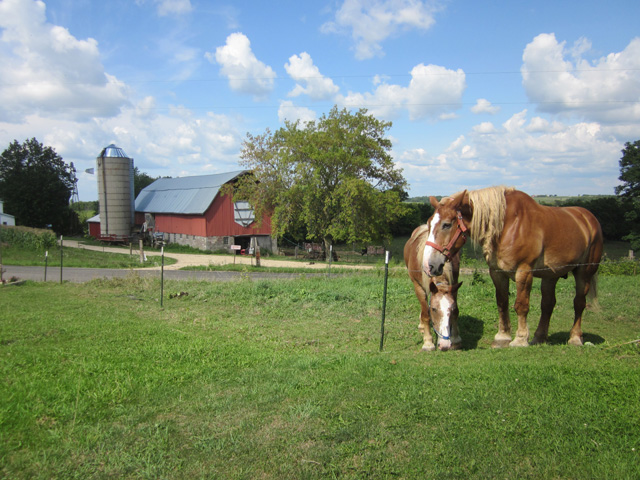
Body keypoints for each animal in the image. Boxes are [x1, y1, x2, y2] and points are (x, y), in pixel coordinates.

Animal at [422, 186, 604, 346]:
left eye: (446, 224)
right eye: (429, 224)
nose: (429, 264)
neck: (507, 226)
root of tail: (589, 218)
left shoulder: (524, 272)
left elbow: (521, 305)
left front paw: (520, 339)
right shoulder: (497, 273)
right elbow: (502, 303)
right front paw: (502, 337)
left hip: (584, 273)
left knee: (579, 303)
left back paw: (575, 338)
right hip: (550, 275)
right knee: (548, 304)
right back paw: (539, 337)